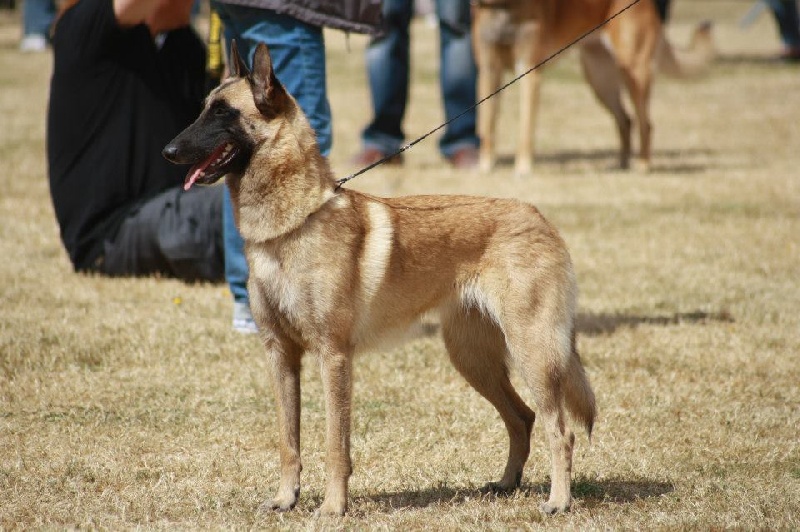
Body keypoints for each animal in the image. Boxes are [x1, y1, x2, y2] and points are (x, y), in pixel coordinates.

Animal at [164, 41, 600, 516]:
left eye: (223, 113)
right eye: (204, 109)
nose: (168, 150)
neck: (294, 223)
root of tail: (539, 217)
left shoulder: (333, 358)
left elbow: (336, 444)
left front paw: (333, 507)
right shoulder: (280, 355)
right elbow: (288, 441)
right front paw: (285, 498)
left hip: (532, 353)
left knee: (561, 430)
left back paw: (558, 501)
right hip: (474, 359)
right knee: (522, 417)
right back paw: (505, 484)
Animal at [472, 0, 716, 174]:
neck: (502, 7)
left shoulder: (529, 72)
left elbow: (525, 128)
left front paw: (523, 168)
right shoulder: (488, 72)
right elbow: (487, 125)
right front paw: (485, 165)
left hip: (634, 72)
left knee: (645, 123)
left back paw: (642, 165)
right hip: (599, 80)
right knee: (625, 120)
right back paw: (621, 165)